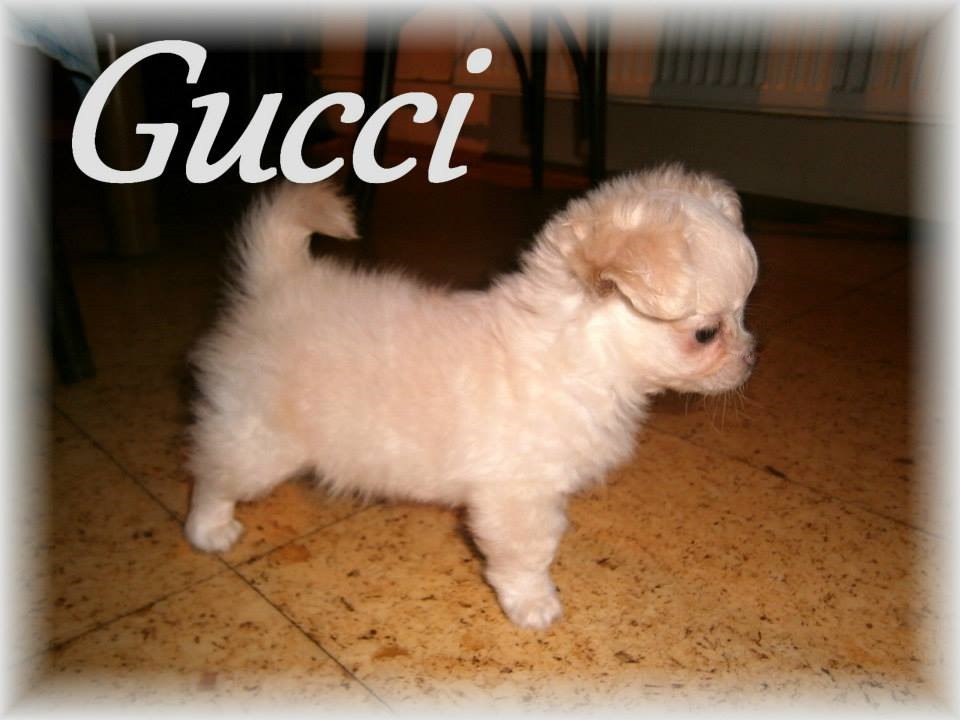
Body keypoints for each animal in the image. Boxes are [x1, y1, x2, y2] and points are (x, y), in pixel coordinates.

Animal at [185, 164, 758, 629]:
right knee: (214, 473)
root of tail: (278, 284)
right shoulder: (518, 495)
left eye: (742, 315)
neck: (578, 355)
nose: (751, 359)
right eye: (706, 334)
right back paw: (209, 528)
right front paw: (534, 604)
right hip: (263, 442)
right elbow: (528, 554)